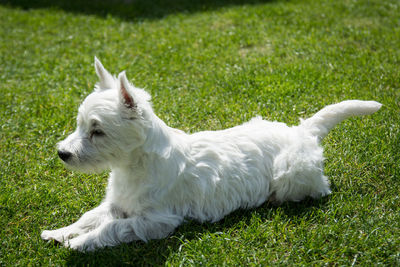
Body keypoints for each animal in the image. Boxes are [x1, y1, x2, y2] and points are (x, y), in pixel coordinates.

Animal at [40, 58, 382, 251]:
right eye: (80, 125)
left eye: (97, 131)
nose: (62, 153)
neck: (133, 166)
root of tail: (304, 131)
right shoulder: (117, 204)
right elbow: (89, 216)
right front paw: (59, 232)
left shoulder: (157, 219)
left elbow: (111, 227)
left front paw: (79, 243)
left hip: (293, 174)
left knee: (318, 189)